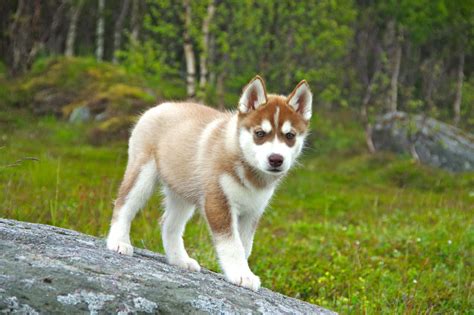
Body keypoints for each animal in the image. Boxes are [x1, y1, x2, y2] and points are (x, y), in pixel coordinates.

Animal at [106, 76, 312, 292]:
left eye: (290, 136)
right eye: (260, 133)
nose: (276, 159)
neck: (247, 169)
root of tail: (161, 106)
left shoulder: (252, 212)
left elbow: (245, 246)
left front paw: (242, 271)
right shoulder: (218, 202)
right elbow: (232, 245)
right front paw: (241, 274)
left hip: (183, 193)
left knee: (169, 224)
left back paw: (179, 259)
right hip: (142, 175)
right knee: (123, 205)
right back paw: (118, 241)